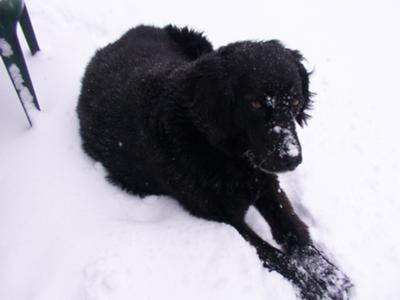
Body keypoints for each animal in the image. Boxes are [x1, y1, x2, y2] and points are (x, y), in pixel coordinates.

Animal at [76, 24, 352, 298]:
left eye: (295, 101)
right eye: (255, 103)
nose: (291, 159)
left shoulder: (265, 182)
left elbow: (293, 228)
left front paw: (330, 276)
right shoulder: (224, 216)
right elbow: (274, 255)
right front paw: (313, 286)